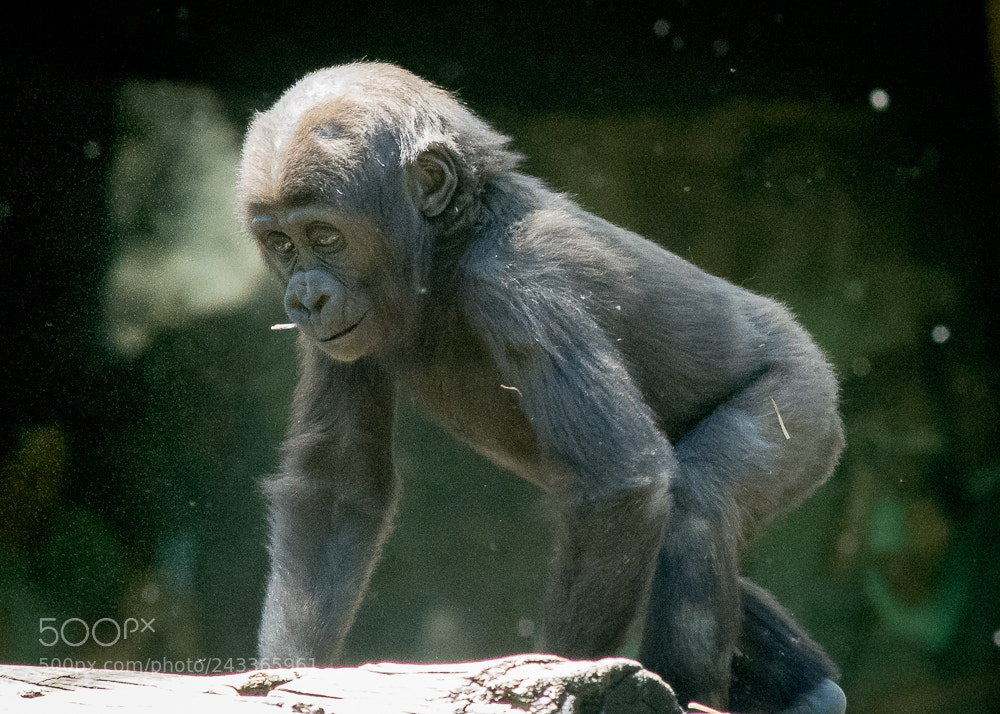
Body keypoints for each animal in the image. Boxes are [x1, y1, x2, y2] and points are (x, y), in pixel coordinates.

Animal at [236, 62, 846, 714]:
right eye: (282, 244)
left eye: (326, 237)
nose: (305, 299)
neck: (453, 243)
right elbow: (336, 484)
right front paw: (283, 676)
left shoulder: (522, 279)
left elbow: (619, 481)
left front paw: (562, 678)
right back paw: (810, 689)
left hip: (802, 396)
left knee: (699, 506)